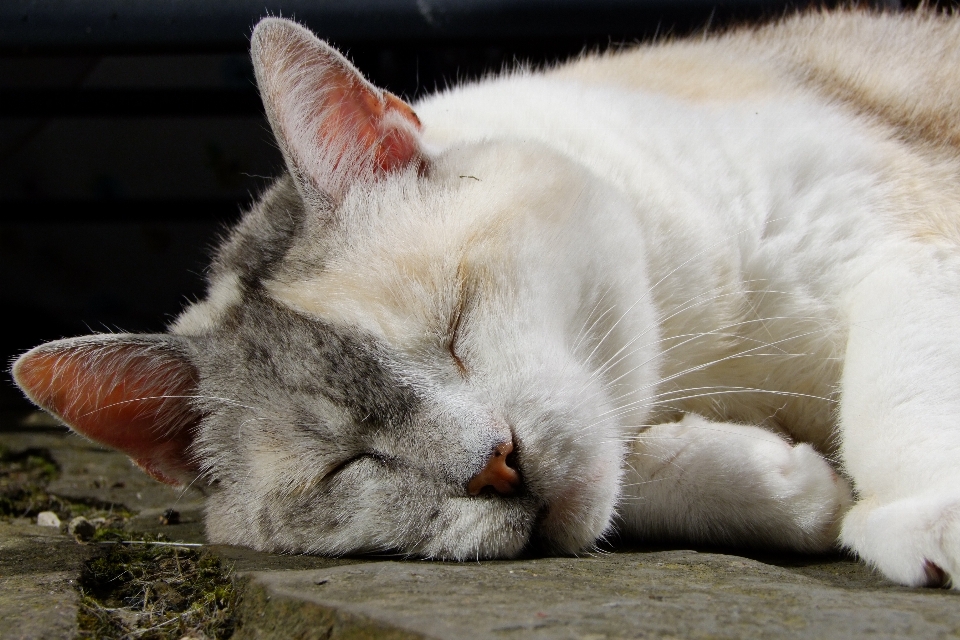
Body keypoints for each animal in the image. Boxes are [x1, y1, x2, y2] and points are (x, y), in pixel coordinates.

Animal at [11, 8, 960, 592]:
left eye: (454, 329)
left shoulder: (900, 245)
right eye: (350, 464)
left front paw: (924, 517)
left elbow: (896, 388)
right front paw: (791, 488)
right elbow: (634, 467)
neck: (703, 355)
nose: (495, 465)